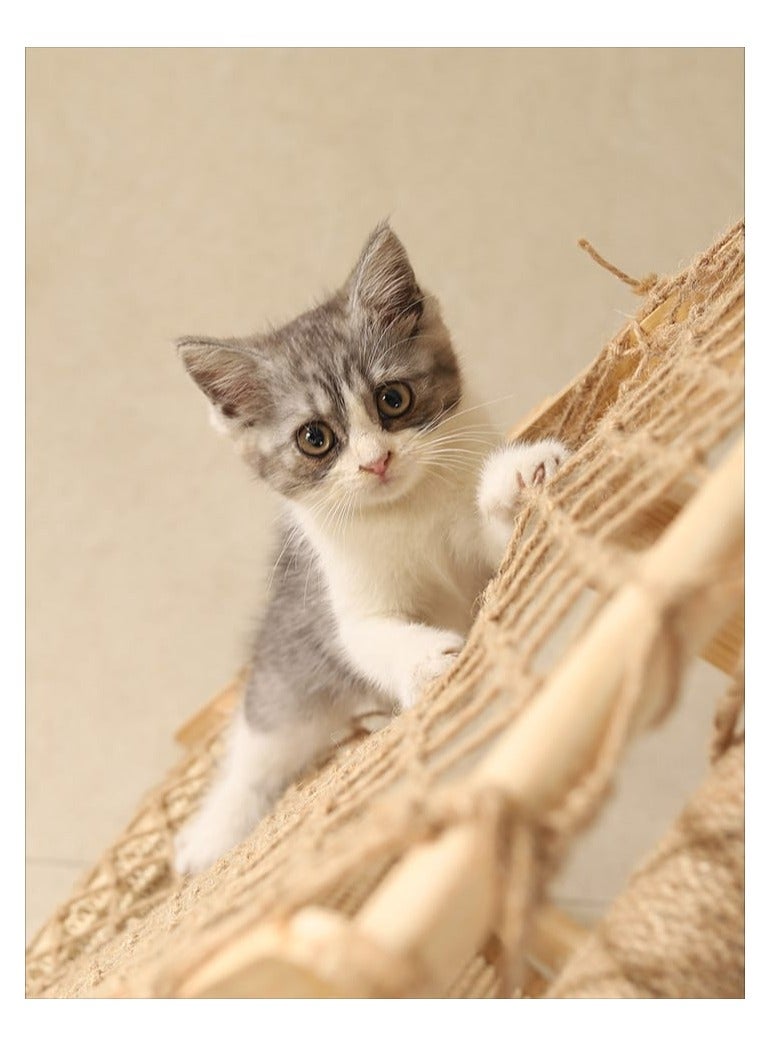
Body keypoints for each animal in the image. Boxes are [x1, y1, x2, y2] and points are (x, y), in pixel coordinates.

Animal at [173, 223, 568, 875]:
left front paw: (518, 476)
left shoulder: (477, 553)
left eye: (393, 399)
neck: (405, 511)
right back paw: (210, 835)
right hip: (285, 665)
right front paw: (427, 662)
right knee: (255, 753)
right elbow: (373, 637)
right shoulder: (347, 604)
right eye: (314, 438)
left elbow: (499, 540)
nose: (376, 461)